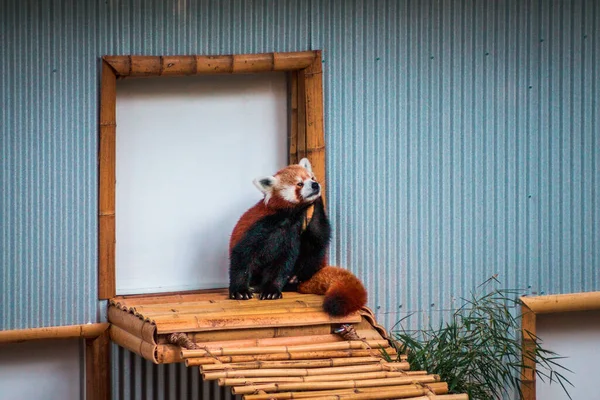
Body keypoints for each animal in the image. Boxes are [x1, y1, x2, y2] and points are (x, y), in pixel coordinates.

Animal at [229, 156, 366, 316]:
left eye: (312, 178)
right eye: (300, 183)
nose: (315, 185)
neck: (288, 218)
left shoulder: (292, 234)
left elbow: (283, 263)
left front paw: (271, 290)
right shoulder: (257, 228)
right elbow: (242, 258)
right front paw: (240, 290)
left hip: (312, 258)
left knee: (315, 246)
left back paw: (294, 280)